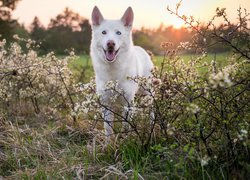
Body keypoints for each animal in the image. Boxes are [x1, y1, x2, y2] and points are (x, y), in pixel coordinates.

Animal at [90, 5, 152, 142]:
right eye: (104, 32)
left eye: (118, 33)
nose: (110, 43)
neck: (113, 70)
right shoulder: (106, 102)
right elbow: (108, 128)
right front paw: (108, 145)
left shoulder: (128, 101)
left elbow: (126, 125)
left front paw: (125, 140)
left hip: (148, 93)